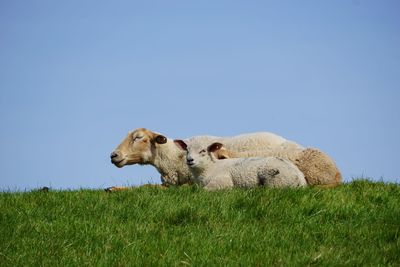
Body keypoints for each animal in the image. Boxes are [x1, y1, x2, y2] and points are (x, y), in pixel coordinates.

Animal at [175, 140, 306, 191]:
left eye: (203, 151)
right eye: (187, 150)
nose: (190, 160)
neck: (209, 168)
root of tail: (300, 178)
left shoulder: (222, 181)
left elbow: (204, 191)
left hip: (275, 180)